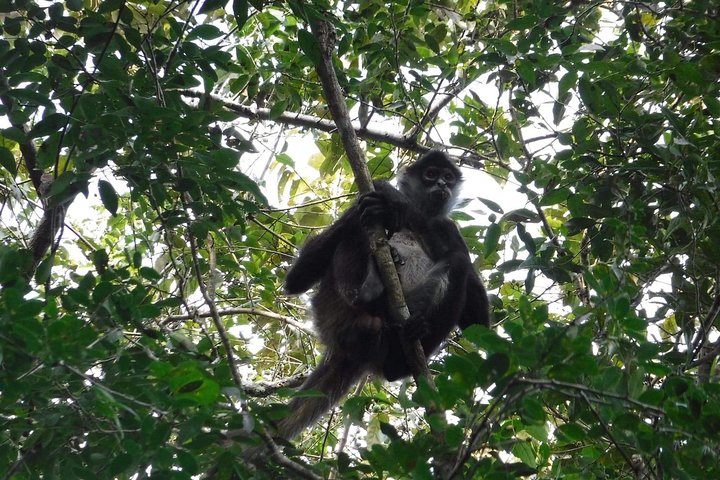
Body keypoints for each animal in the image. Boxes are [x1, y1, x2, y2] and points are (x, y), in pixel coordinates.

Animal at [278, 150, 490, 440]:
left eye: (448, 177)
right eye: (431, 174)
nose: (441, 185)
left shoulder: (449, 228)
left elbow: (479, 323)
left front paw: (398, 204)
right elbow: (295, 280)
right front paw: (388, 195)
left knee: (456, 261)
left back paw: (404, 346)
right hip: (332, 309)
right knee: (354, 231)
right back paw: (372, 289)